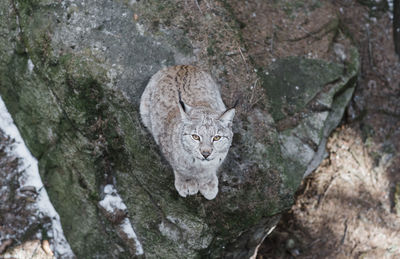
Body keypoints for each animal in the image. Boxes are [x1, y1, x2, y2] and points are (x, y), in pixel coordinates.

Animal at [140, 65, 234, 201]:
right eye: (195, 137)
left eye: (217, 138)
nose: (206, 153)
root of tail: (181, 66)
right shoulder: (165, 145)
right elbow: (180, 168)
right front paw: (187, 182)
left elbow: (210, 169)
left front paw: (207, 183)